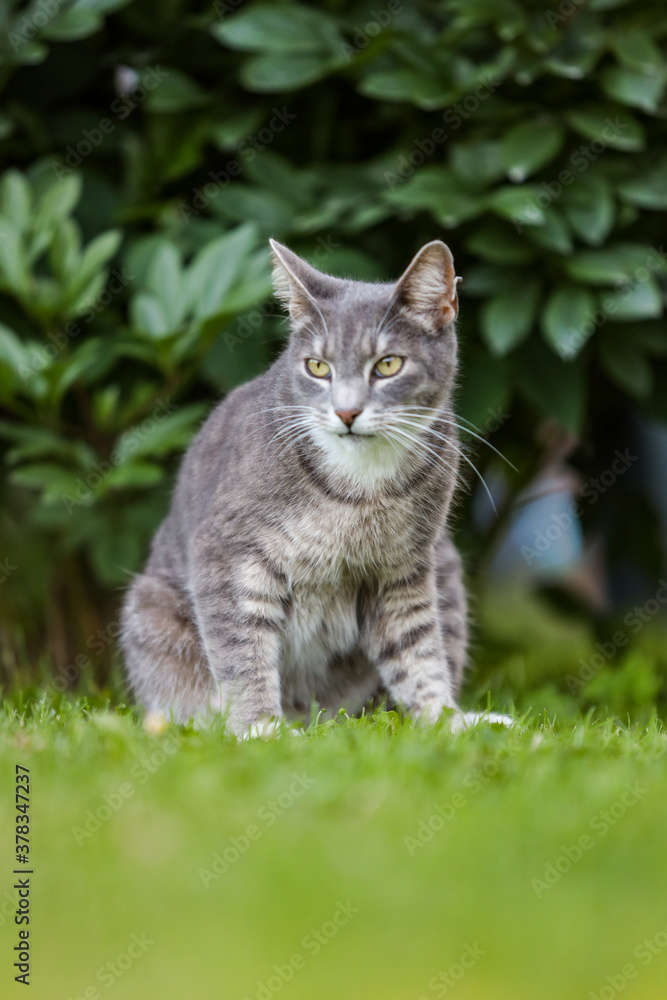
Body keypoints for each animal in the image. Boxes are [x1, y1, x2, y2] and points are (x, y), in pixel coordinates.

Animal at [121, 238, 506, 732]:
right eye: (318, 367)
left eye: (388, 364)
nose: (346, 412)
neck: (360, 488)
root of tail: (315, 719)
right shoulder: (226, 553)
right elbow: (241, 650)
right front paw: (259, 730)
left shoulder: (403, 568)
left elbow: (417, 648)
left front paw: (445, 722)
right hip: (150, 610)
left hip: (447, 566)